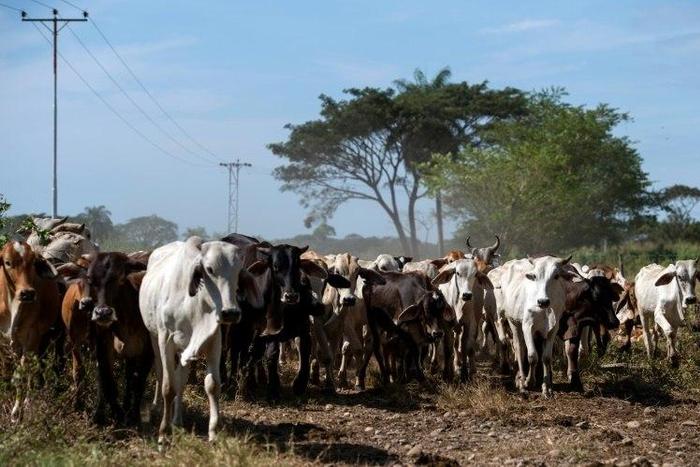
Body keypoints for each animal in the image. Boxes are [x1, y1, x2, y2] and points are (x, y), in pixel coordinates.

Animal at [0, 241, 61, 422]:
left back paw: (28, 401)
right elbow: (7, 371)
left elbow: (21, 373)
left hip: (43, 340)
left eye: (33, 263)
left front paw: (16, 411)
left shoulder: (31, 336)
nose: (27, 293)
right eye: (7, 262)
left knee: (33, 367)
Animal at [140, 237, 262, 443]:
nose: (230, 313)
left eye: (238, 271)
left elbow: (212, 385)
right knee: (160, 372)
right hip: (154, 337)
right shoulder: (166, 340)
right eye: (210, 269)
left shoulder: (214, 342)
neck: (195, 307)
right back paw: (157, 408)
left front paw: (213, 431)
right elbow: (168, 387)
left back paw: (177, 420)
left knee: (181, 379)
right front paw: (163, 432)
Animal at [499, 255, 573, 396]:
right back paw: (522, 382)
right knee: (519, 349)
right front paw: (529, 382)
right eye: (535, 276)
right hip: (513, 322)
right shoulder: (527, 326)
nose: (543, 301)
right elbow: (532, 356)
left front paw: (547, 388)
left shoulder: (552, 330)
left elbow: (546, 358)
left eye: (556, 276)